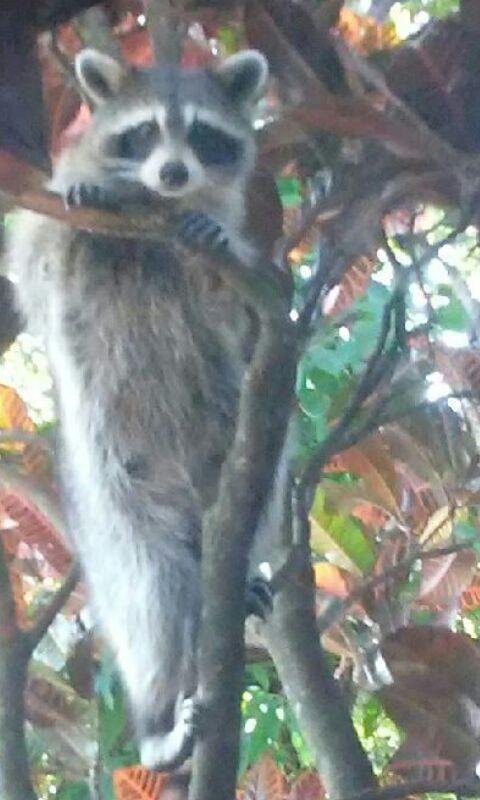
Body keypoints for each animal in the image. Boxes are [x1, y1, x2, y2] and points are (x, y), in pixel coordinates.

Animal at [8, 47, 273, 769]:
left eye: (203, 134)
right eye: (146, 132)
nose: (175, 172)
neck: (155, 208)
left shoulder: (236, 254)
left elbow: (239, 317)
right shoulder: (52, 215)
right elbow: (42, 265)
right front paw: (89, 208)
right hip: (110, 500)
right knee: (152, 591)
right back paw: (158, 718)